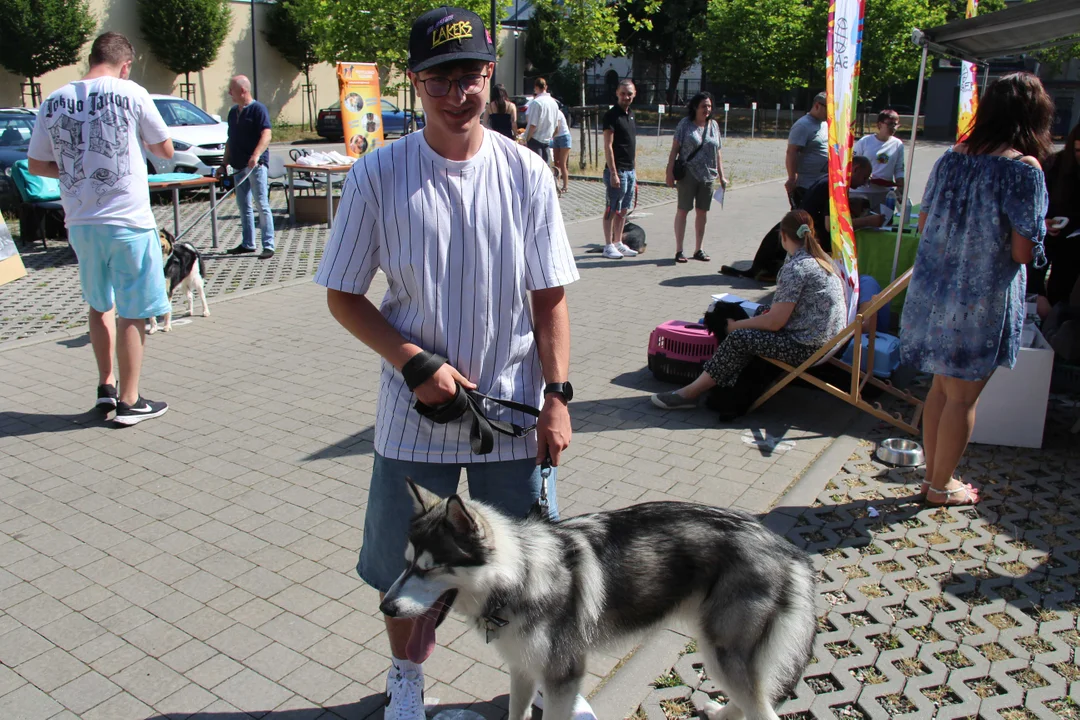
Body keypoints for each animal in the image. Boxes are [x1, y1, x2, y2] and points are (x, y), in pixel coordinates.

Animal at [384, 481, 812, 720]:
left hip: (721, 655)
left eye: (429, 569)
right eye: (405, 564)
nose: (385, 607)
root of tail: (784, 547)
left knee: (763, 710)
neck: (522, 573)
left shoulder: (563, 677)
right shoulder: (522, 669)